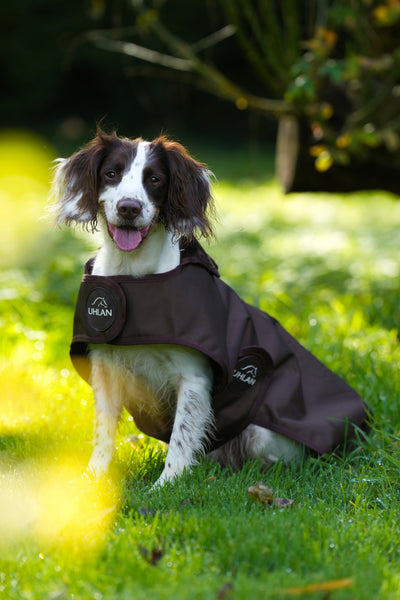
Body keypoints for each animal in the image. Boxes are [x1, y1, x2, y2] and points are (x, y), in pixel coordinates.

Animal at [50, 130, 368, 482]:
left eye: (154, 179)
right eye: (111, 174)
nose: (129, 208)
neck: (133, 277)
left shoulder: (193, 378)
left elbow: (181, 439)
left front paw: (166, 485)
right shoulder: (106, 371)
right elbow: (103, 434)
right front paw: (93, 479)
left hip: (262, 431)